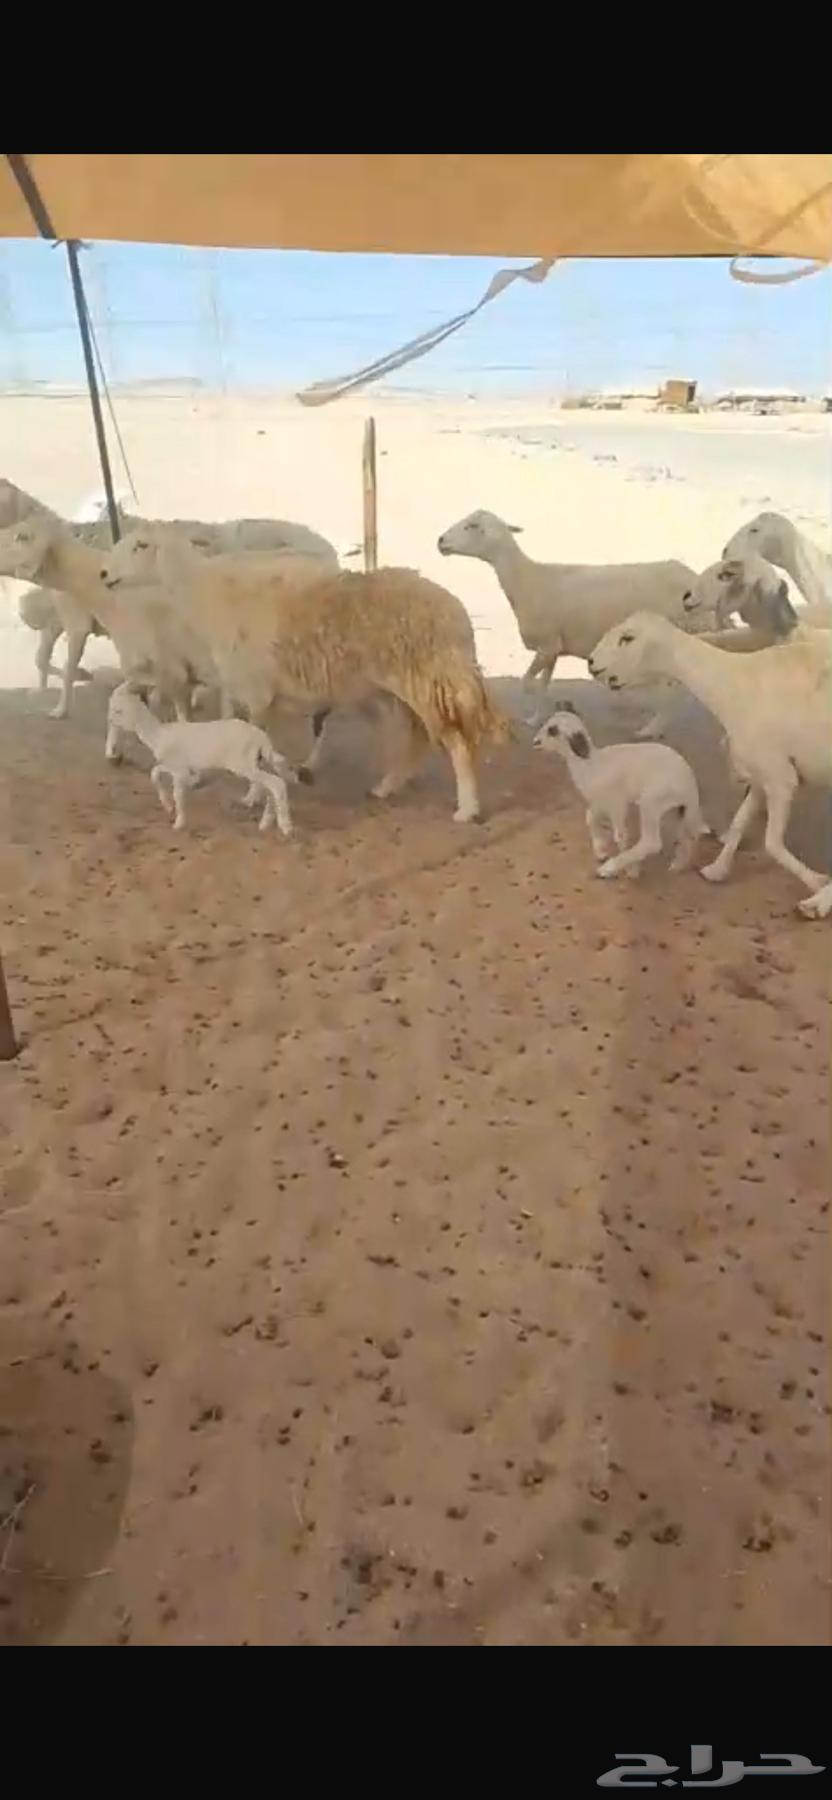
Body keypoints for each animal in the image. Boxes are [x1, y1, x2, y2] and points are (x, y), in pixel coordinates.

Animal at [105, 682, 298, 835]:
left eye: (117, 710)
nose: (109, 720)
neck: (158, 735)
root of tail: (261, 737)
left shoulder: (180, 770)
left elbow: (178, 794)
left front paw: (179, 822)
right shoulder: (177, 767)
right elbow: (154, 773)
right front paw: (167, 805)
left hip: (242, 763)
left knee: (276, 784)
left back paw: (285, 826)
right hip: (256, 761)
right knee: (270, 785)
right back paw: (265, 820)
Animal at [436, 508, 703, 738]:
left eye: (471, 526)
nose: (440, 540)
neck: (527, 579)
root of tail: (691, 576)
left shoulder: (546, 644)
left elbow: (527, 683)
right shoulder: (553, 648)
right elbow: (542, 684)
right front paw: (536, 718)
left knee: (670, 689)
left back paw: (651, 729)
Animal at [533, 703, 709, 879]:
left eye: (553, 730)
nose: (535, 742)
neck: (590, 765)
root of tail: (690, 785)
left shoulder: (617, 803)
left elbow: (620, 834)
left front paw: (630, 869)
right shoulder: (598, 802)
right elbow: (590, 819)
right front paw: (600, 850)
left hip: (651, 801)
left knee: (652, 842)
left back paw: (608, 869)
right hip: (678, 810)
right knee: (687, 836)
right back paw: (677, 865)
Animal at [587, 612, 832, 915]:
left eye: (627, 638)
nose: (591, 663)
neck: (734, 684)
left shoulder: (781, 778)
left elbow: (772, 843)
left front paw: (816, 882)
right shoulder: (762, 774)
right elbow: (739, 823)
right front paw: (717, 870)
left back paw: (819, 902)